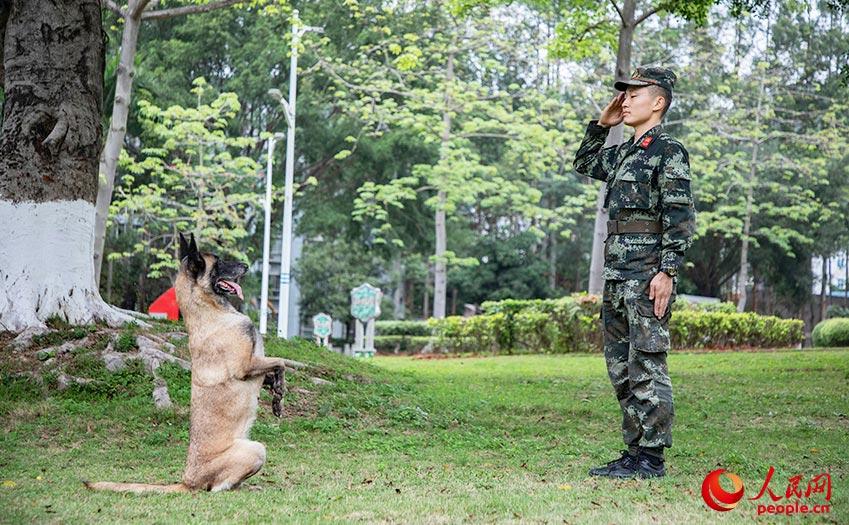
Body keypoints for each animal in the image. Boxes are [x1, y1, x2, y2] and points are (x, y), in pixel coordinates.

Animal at [84, 233, 286, 492]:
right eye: (219, 262)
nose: (246, 265)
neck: (211, 310)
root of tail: (186, 481)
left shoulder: (255, 364)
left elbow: (274, 370)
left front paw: (277, 396)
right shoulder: (245, 366)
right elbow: (281, 362)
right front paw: (279, 393)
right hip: (255, 449)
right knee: (215, 488)